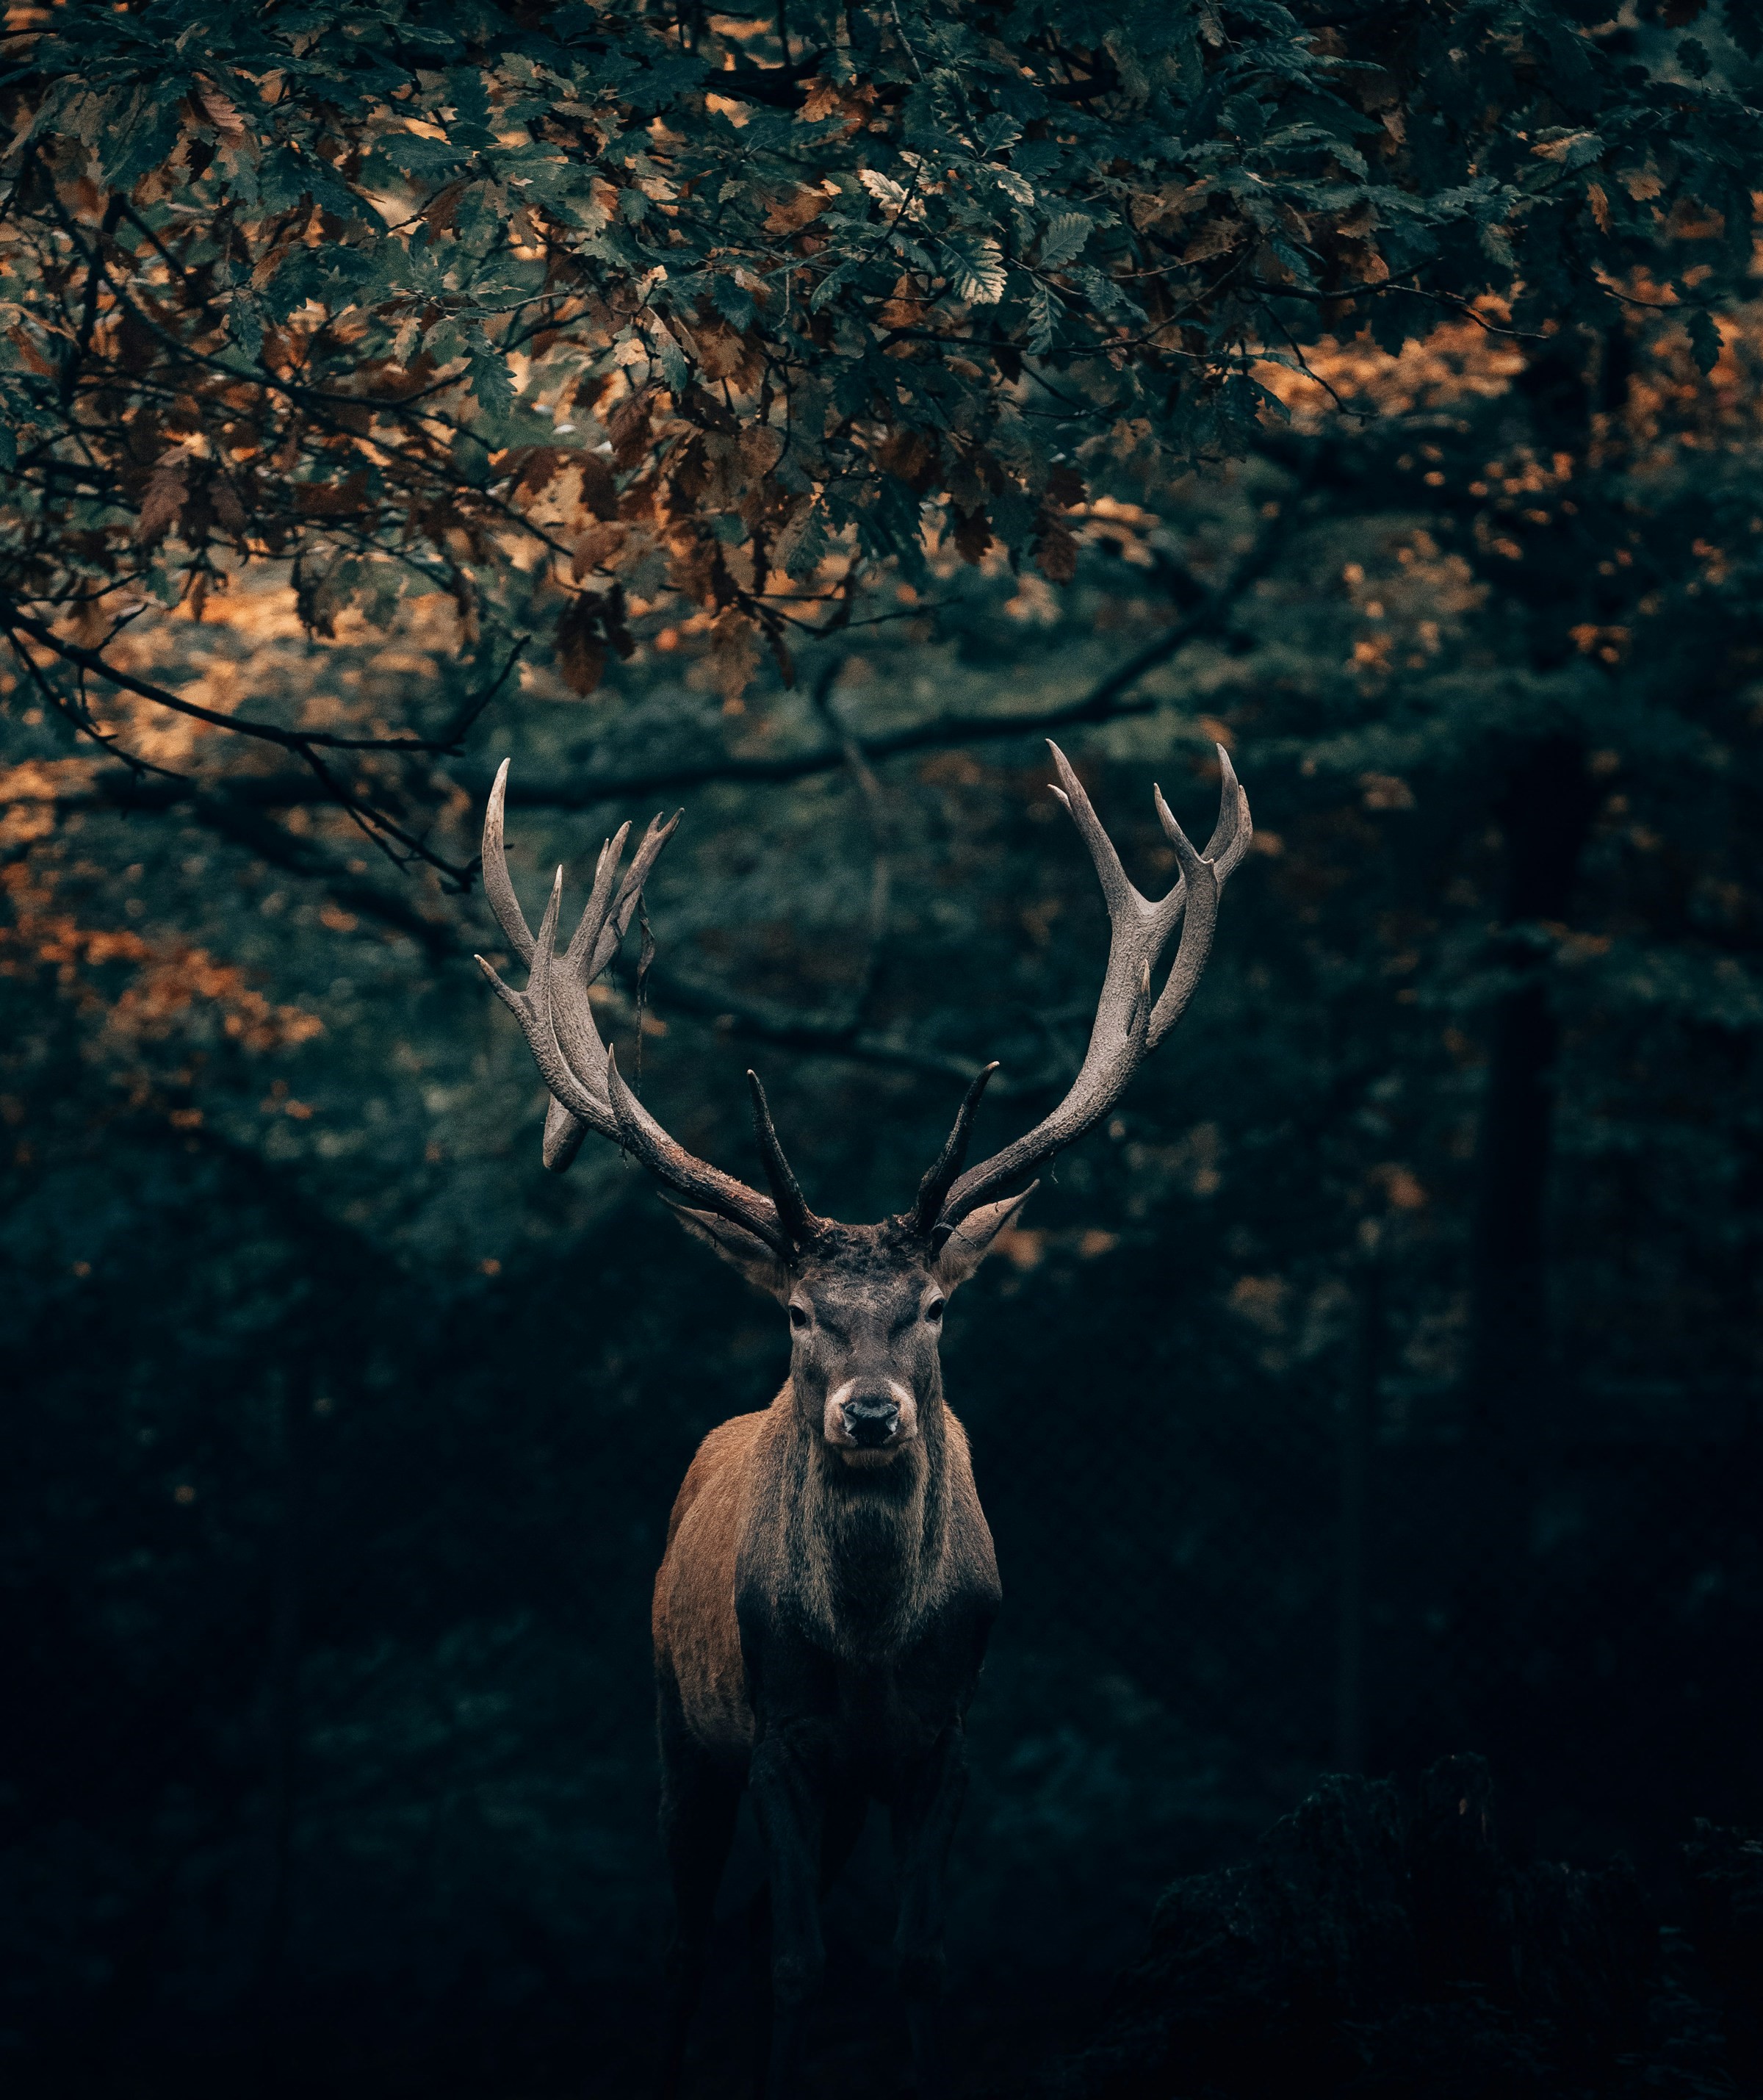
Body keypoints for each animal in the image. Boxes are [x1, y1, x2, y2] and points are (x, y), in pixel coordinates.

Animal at [473, 740, 1251, 2098]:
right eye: (797, 1313)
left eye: (934, 1305)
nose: (872, 1411)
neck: (878, 1644)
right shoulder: (781, 1732)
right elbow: (800, 1963)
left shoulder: (947, 1739)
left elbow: (916, 1959)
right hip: (679, 1721)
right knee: (689, 1939)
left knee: (738, 1932)